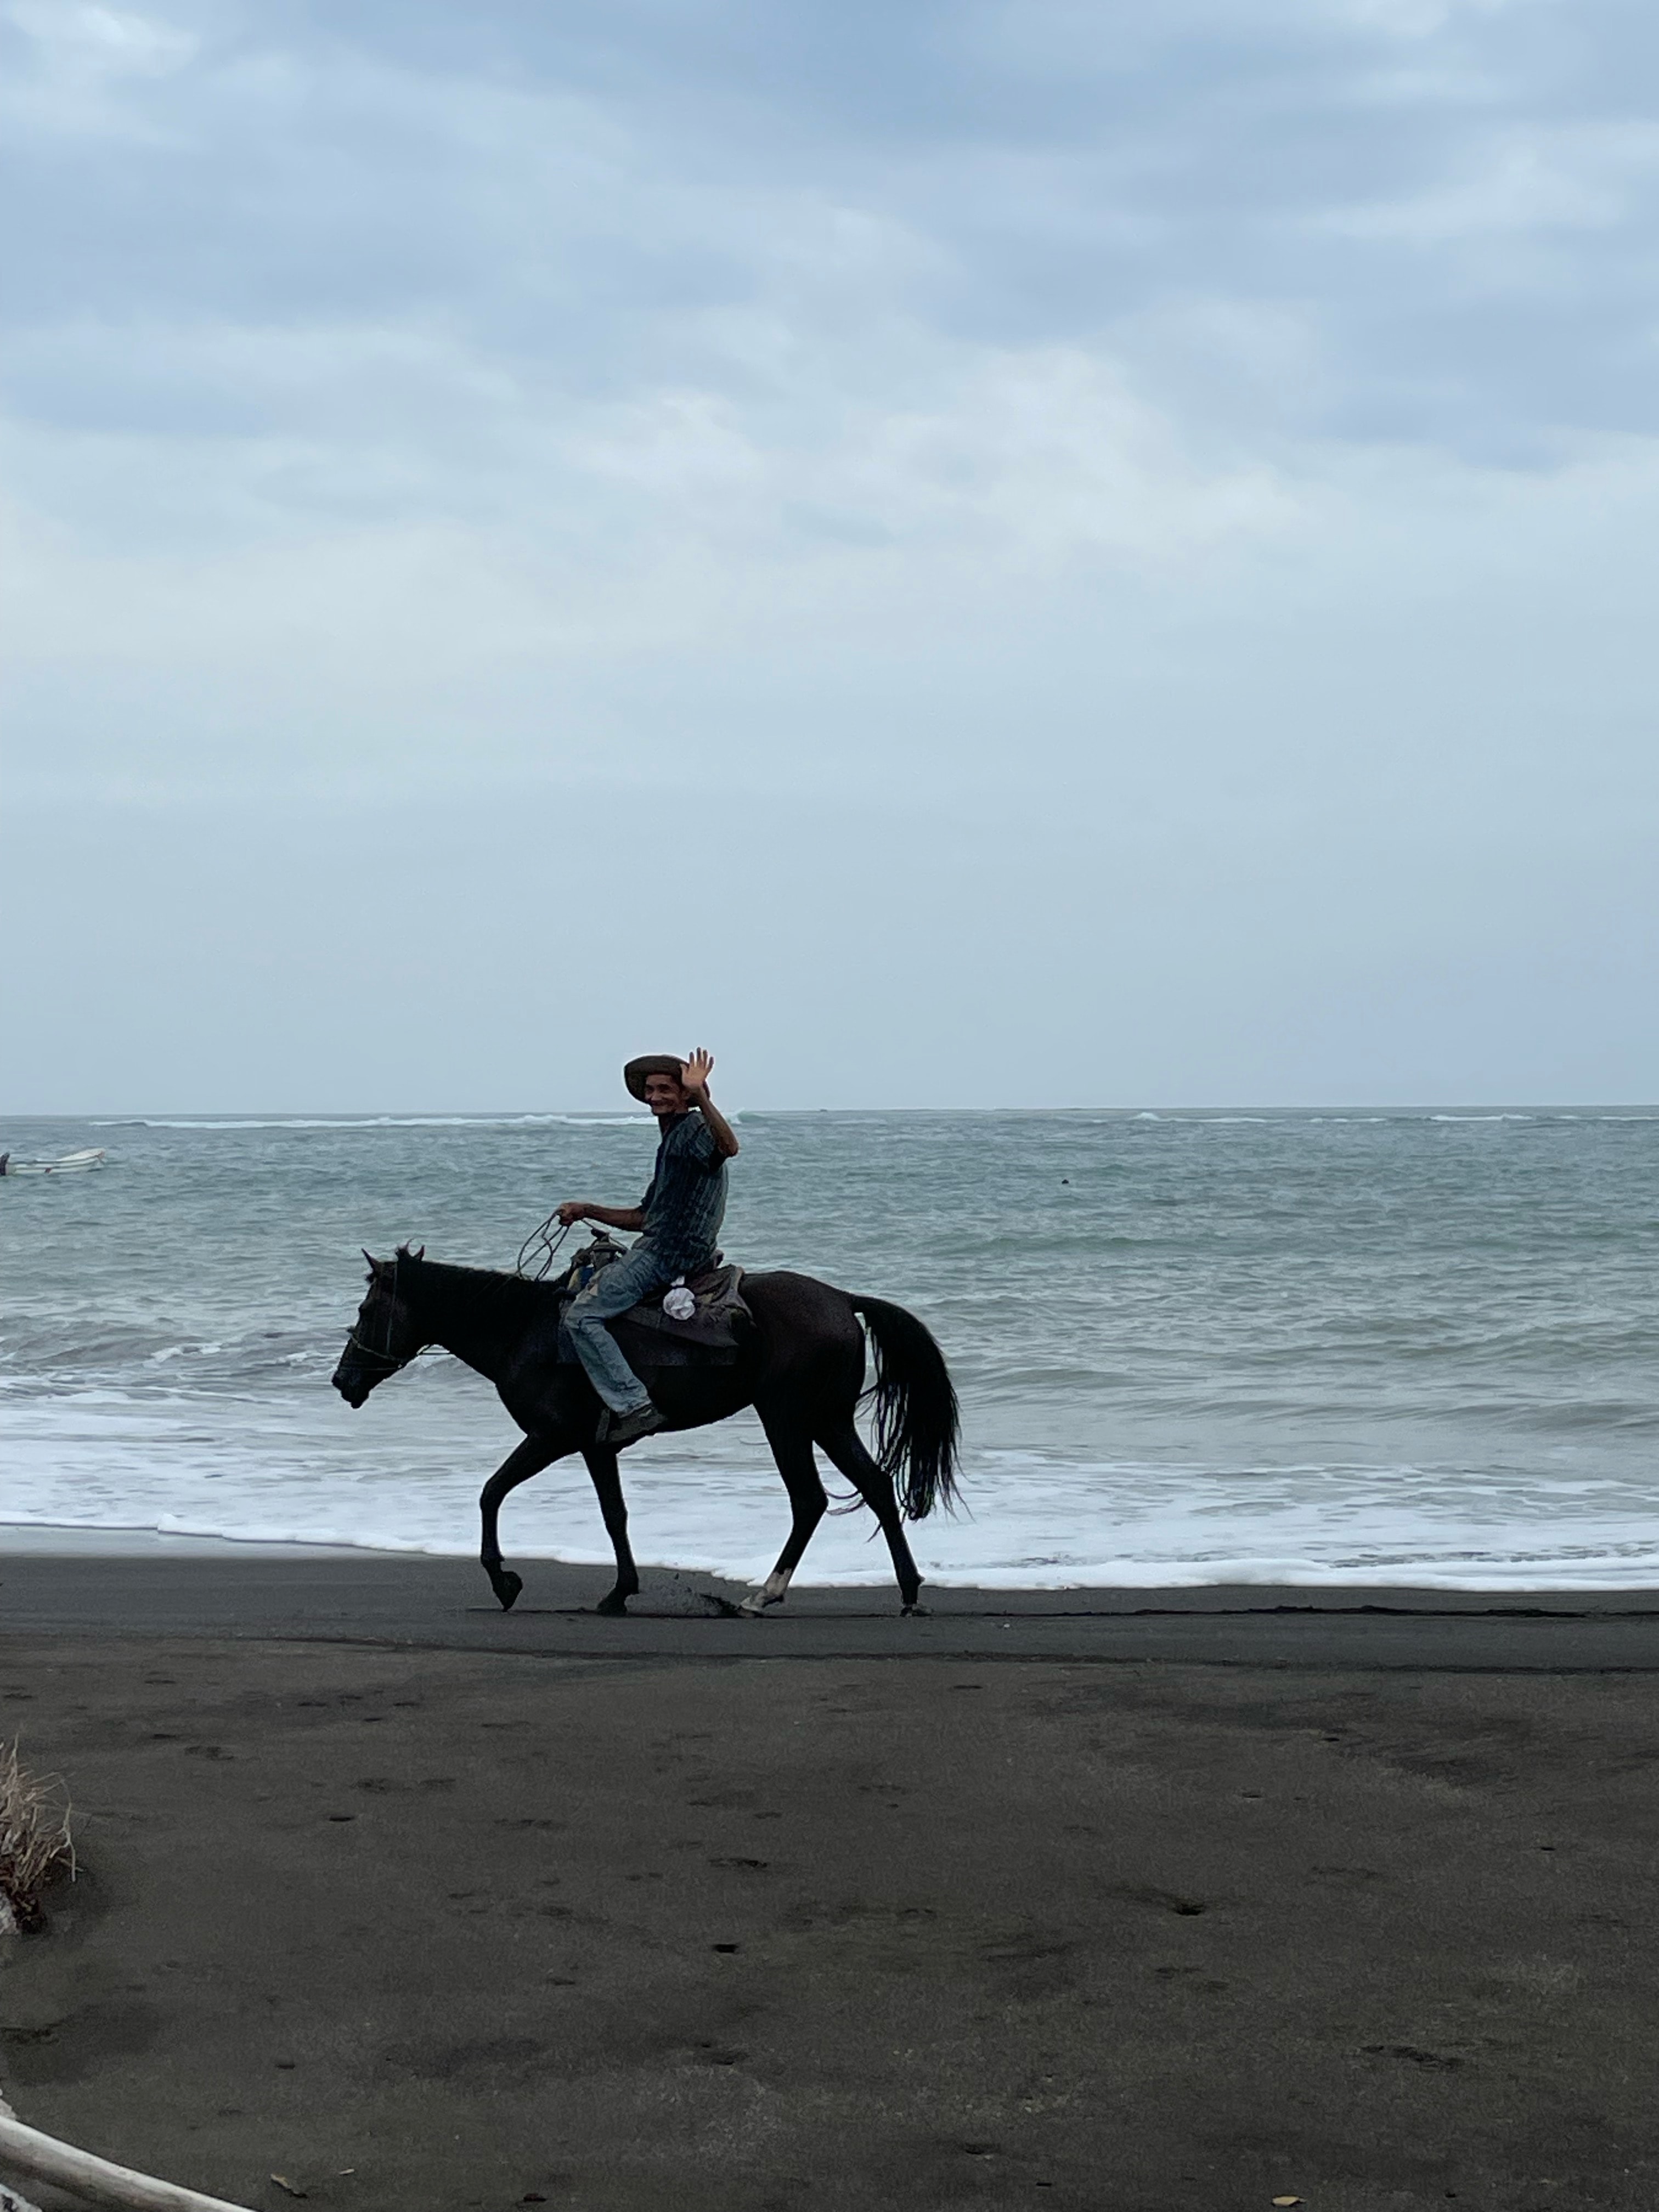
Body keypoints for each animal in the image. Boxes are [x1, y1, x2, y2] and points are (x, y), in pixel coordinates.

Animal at [331, 1256, 960, 1619]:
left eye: (366, 1308)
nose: (343, 1381)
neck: (522, 1331)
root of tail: (843, 1300)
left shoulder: (552, 1437)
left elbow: (492, 1492)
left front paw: (505, 1581)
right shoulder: (596, 1447)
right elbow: (615, 1516)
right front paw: (619, 1591)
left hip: (786, 1419)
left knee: (809, 1500)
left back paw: (763, 1594)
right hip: (827, 1420)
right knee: (876, 1486)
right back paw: (908, 1593)